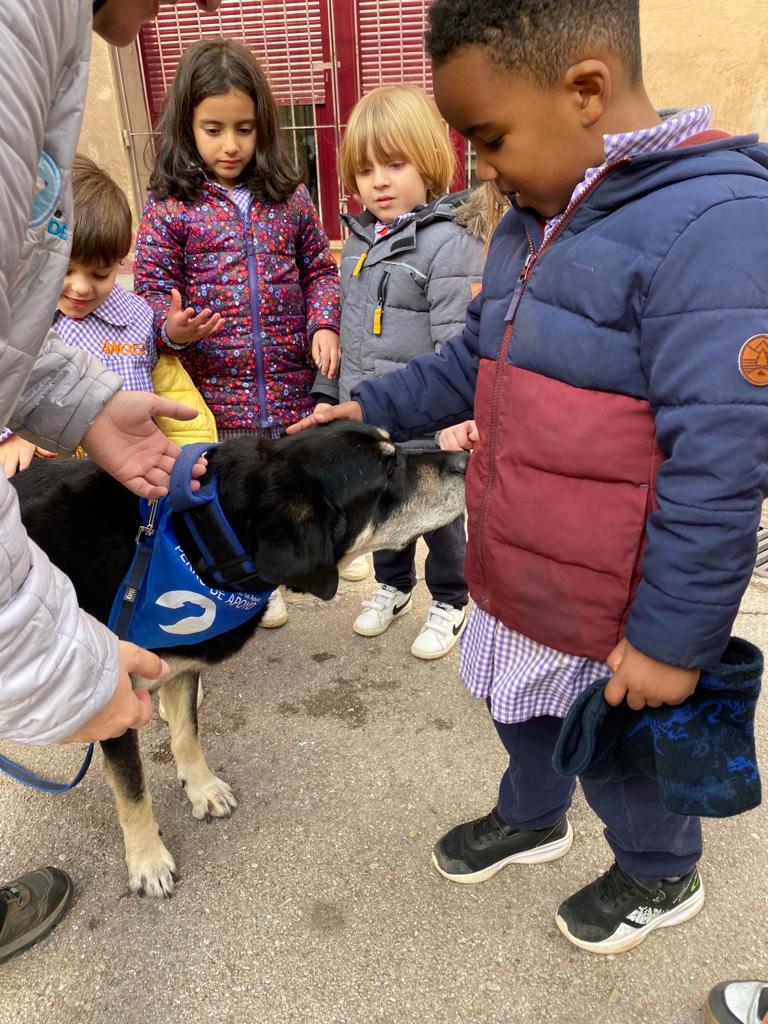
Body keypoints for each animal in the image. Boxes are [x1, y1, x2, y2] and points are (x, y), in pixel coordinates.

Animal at [12, 422, 467, 896]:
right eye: (388, 470)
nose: (465, 459)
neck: (204, 538)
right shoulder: (114, 697)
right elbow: (132, 788)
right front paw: (147, 860)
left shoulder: (181, 667)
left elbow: (186, 736)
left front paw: (201, 788)